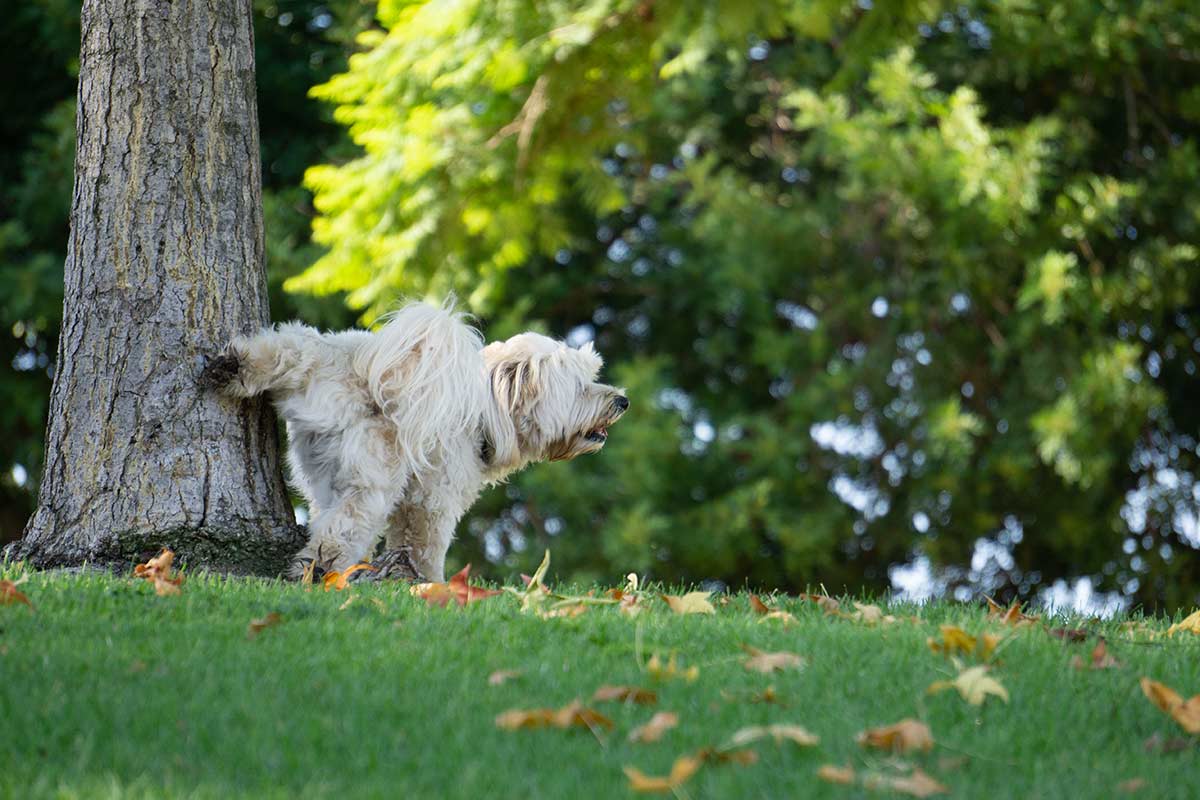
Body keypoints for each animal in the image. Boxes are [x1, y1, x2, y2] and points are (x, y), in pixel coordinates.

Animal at [202, 303, 628, 578]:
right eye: (582, 386)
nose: (622, 400)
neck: (487, 409)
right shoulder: (433, 498)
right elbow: (424, 543)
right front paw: (430, 584)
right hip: (375, 480)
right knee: (343, 530)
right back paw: (321, 570)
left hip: (313, 393)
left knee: (287, 348)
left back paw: (234, 365)